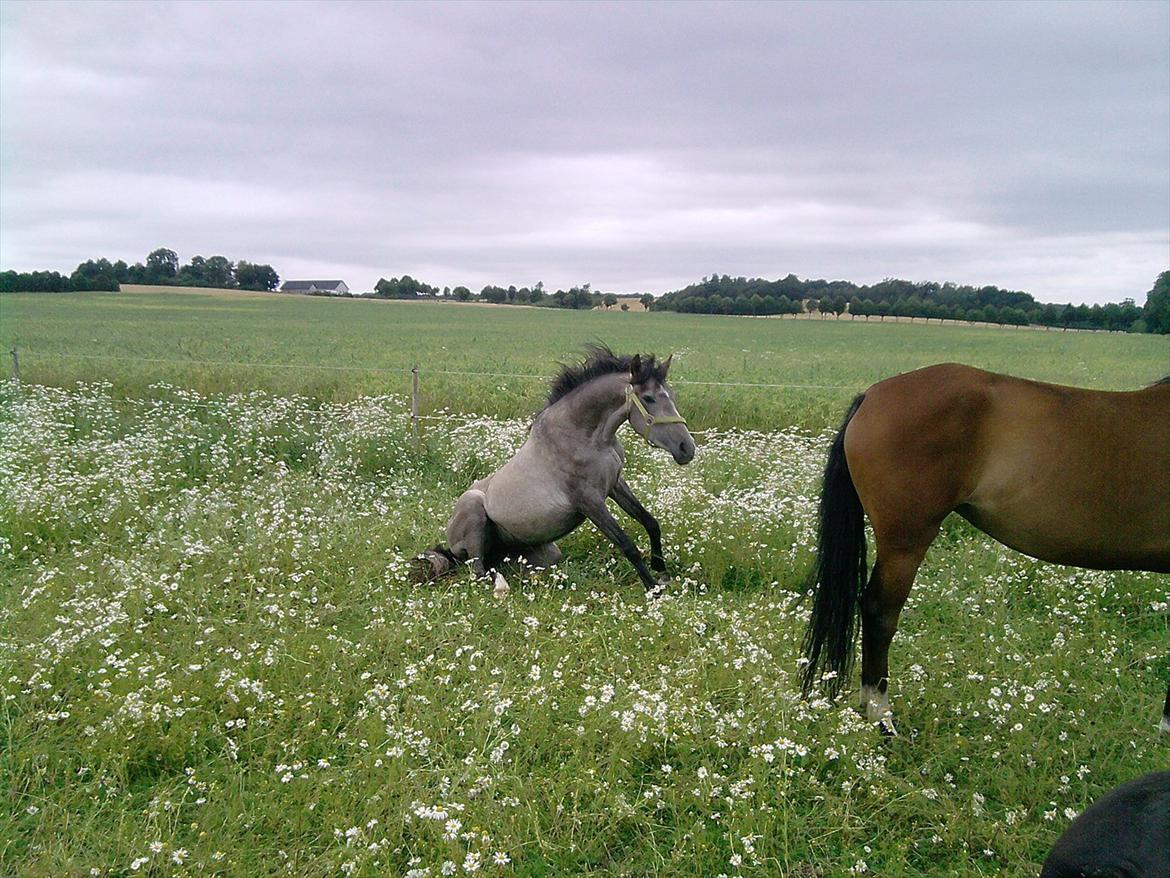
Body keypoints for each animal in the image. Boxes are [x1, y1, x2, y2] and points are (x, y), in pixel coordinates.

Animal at [416, 346, 692, 594]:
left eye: (672, 395)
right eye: (648, 398)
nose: (687, 448)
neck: (585, 437)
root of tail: (451, 546)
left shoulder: (615, 485)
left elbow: (650, 522)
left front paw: (662, 572)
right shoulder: (589, 501)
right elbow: (627, 544)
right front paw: (654, 590)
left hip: (542, 552)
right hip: (473, 513)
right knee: (479, 571)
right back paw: (501, 587)